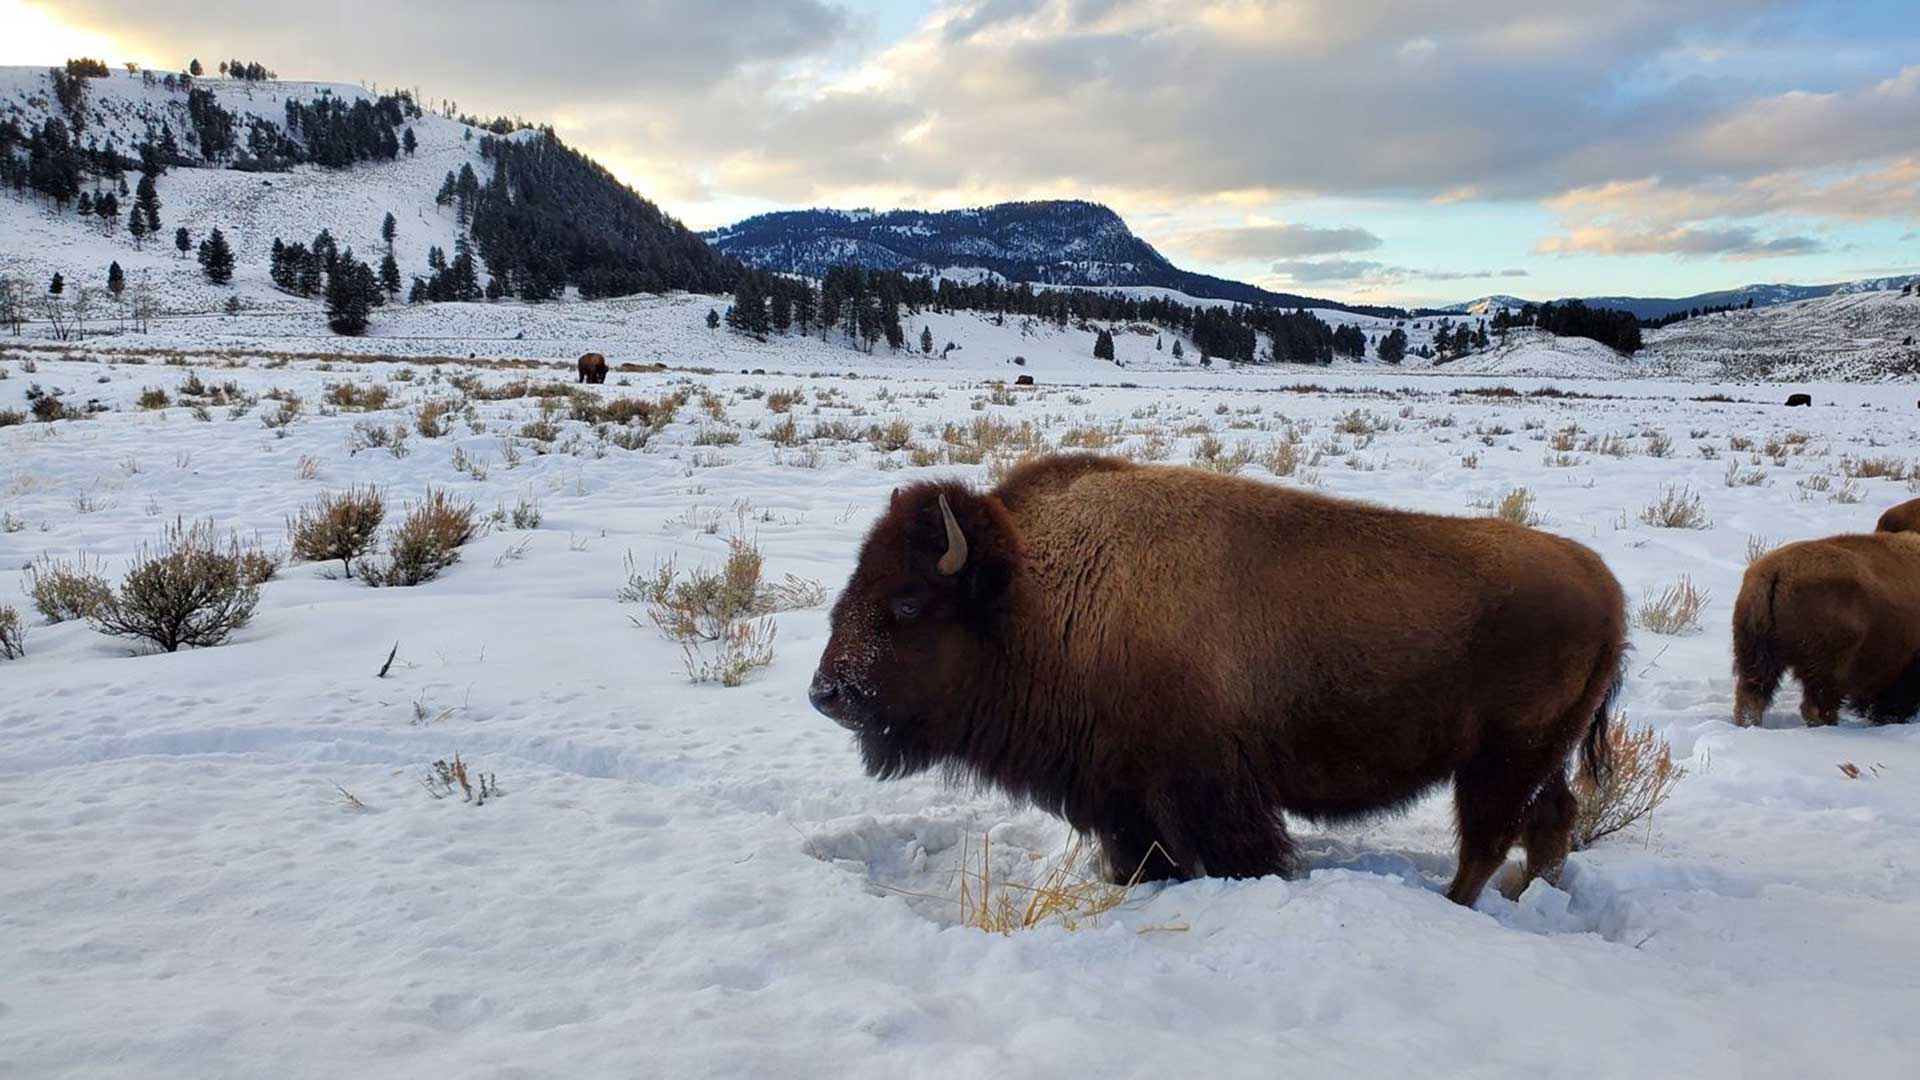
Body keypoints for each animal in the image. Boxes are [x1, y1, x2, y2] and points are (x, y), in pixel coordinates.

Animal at [810, 454, 1626, 906]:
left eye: (907, 604)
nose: (826, 693)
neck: (1039, 593)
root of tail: (1603, 582)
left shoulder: (1206, 790)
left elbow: (1240, 856)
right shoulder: (1117, 797)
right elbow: (1141, 860)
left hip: (1498, 762)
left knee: (1486, 841)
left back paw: (1459, 904)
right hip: (1537, 758)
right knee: (1550, 822)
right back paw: (1531, 897)